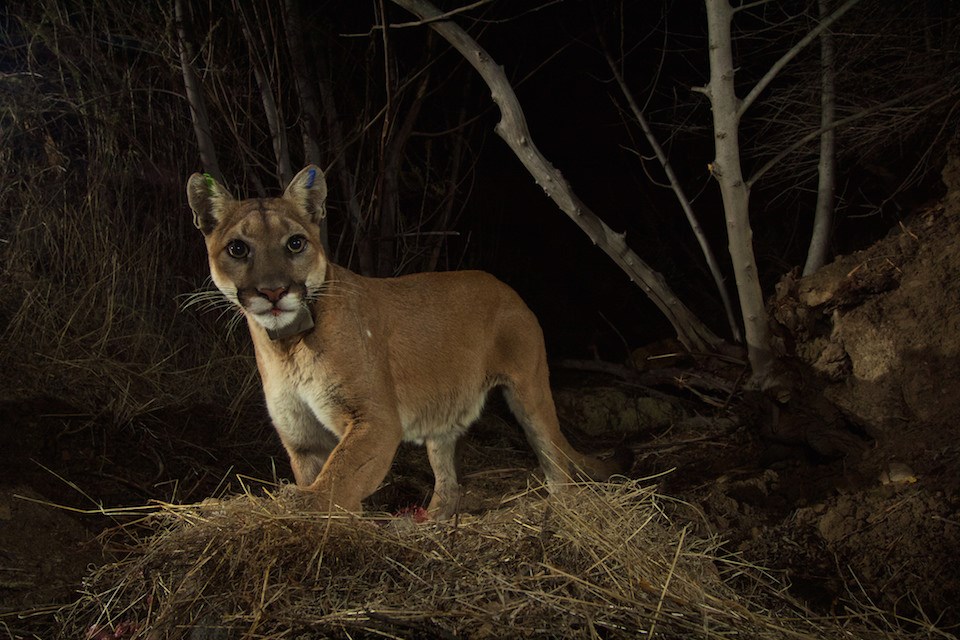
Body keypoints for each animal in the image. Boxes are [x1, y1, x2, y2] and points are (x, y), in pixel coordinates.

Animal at [188, 166, 632, 520]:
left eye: (295, 243)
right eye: (238, 249)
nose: (274, 291)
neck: (286, 346)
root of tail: (505, 287)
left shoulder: (376, 420)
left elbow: (338, 478)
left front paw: (303, 510)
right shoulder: (302, 437)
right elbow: (326, 477)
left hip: (530, 390)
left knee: (555, 457)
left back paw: (562, 511)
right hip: (443, 414)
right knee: (448, 481)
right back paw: (431, 521)